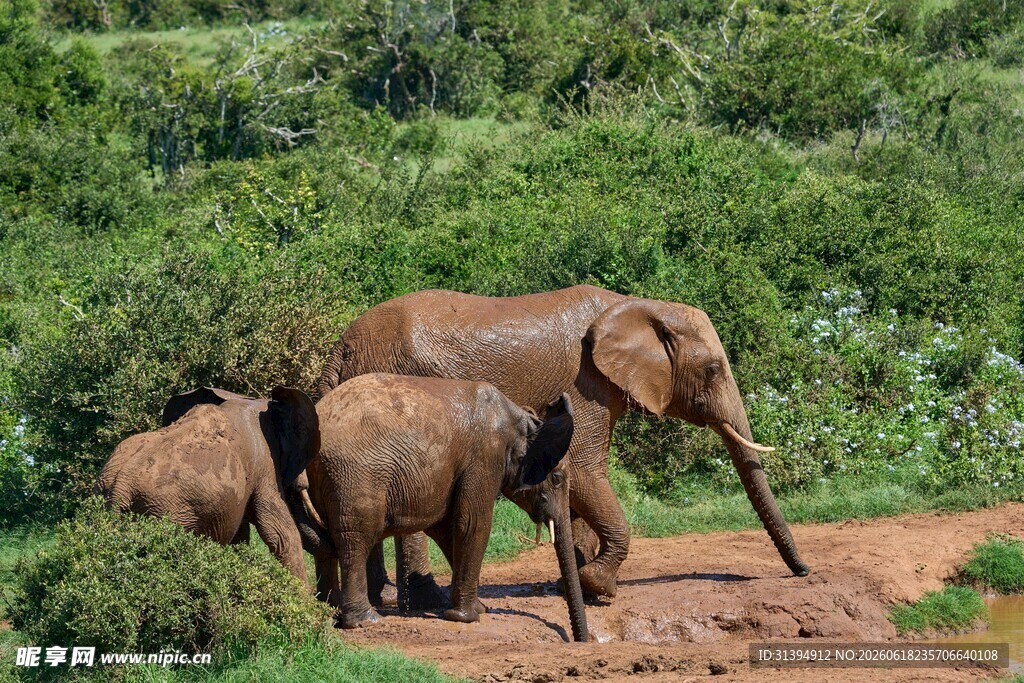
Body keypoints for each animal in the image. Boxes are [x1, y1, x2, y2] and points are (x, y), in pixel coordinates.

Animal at [305, 373, 588, 641]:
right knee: (355, 541)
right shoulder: (484, 456)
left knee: (325, 544)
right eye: (557, 478)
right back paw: (365, 621)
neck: (522, 421)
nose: (580, 640)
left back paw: (330, 612)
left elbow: (447, 528)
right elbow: (473, 523)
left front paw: (477, 608)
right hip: (353, 477)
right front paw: (467, 617)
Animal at [314, 285, 808, 606]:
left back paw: (382, 599)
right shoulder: (585, 382)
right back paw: (427, 601)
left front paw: (574, 577)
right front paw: (599, 588)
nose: (803, 572)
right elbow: (586, 469)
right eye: (712, 370)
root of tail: (339, 349)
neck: (637, 305)